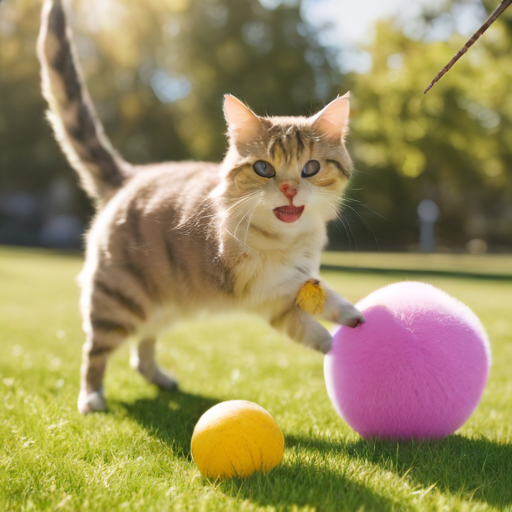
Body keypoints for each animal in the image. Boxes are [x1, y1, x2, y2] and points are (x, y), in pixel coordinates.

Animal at [38, 0, 366, 414]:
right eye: (264, 168)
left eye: (311, 168)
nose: (290, 189)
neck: (286, 241)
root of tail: (130, 176)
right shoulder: (264, 294)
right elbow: (307, 326)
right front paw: (337, 345)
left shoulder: (297, 280)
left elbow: (323, 296)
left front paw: (351, 315)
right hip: (118, 300)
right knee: (95, 352)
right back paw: (92, 397)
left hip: (162, 301)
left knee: (142, 350)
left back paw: (161, 380)